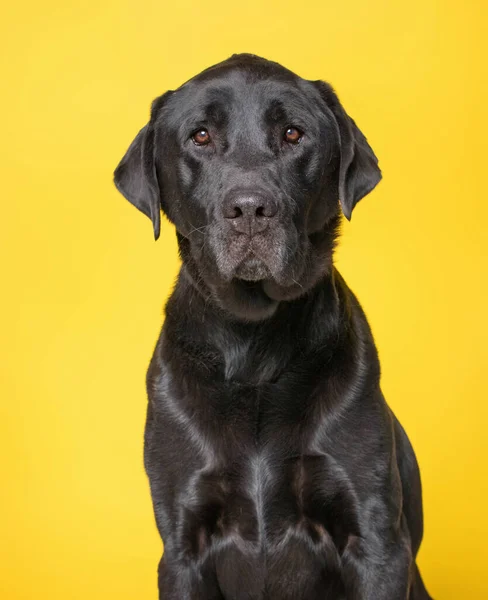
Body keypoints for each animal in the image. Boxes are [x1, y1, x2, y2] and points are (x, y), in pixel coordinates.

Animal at [113, 54, 430, 596]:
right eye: (200, 136)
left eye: (293, 134)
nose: (250, 209)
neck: (254, 345)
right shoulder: (181, 546)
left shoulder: (377, 542)